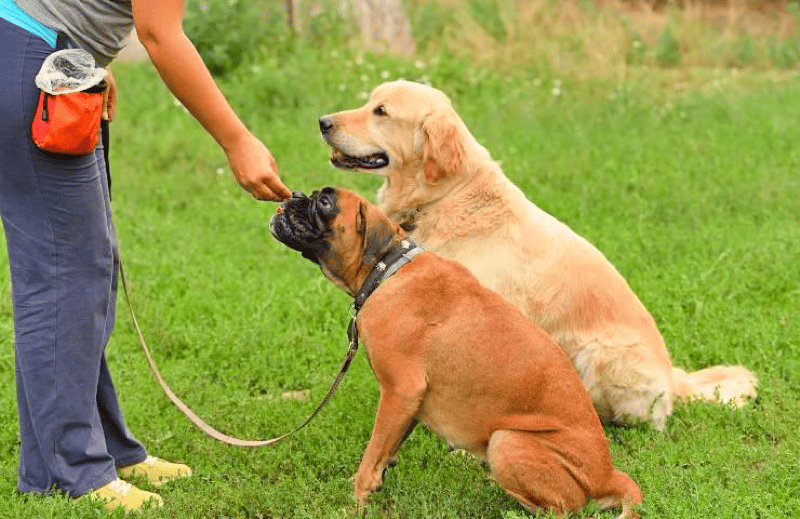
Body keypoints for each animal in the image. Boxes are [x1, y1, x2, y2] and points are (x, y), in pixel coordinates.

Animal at [272, 189, 640, 516]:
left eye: (324, 202)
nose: (294, 196)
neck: (388, 268)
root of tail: (608, 475)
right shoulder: (408, 403)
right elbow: (384, 453)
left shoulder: (399, 391)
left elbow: (372, 453)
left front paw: (356, 501)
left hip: (507, 441)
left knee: (560, 510)